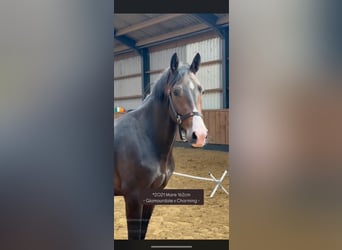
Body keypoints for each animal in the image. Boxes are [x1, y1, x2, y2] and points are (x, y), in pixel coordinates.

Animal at [113, 52, 207, 240]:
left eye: (201, 89)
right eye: (176, 92)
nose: (199, 135)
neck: (146, 139)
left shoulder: (152, 197)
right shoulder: (133, 198)